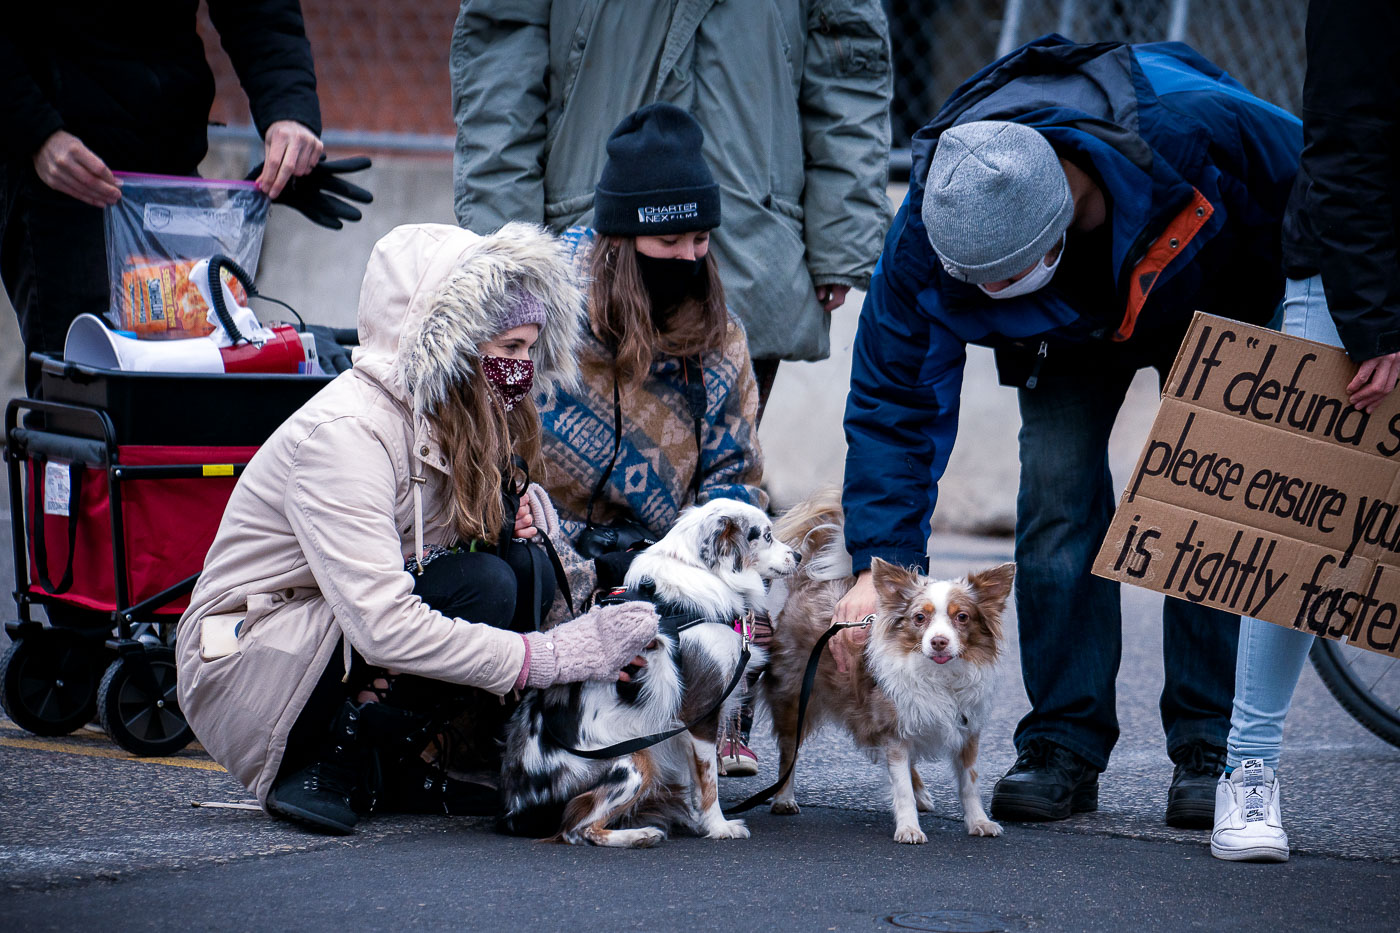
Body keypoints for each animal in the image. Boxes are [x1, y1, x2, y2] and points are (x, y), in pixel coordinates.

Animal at [761, 493, 1013, 840]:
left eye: (962, 617)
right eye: (919, 618)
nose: (939, 642)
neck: (938, 674)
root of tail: (809, 585)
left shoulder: (966, 728)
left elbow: (969, 783)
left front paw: (978, 822)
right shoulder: (894, 729)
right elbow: (901, 785)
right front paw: (908, 828)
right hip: (795, 697)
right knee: (789, 749)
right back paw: (784, 798)